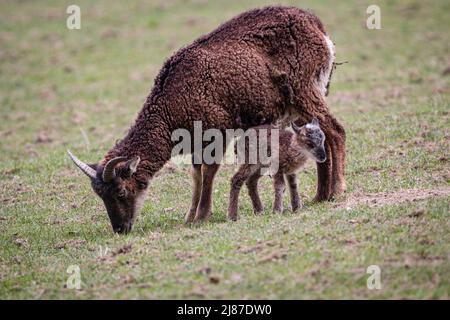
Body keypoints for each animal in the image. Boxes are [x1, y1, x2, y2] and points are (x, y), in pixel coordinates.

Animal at [68, 5, 346, 235]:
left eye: (121, 191)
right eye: (100, 195)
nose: (120, 229)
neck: (171, 104)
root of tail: (318, 28)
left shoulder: (217, 130)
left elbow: (209, 171)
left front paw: (202, 215)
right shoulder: (196, 140)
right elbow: (196, 174)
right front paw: (189, 216)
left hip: (305, 90)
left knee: (336, 131)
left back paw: (336, 190)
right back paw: (320, 196)